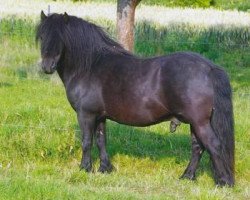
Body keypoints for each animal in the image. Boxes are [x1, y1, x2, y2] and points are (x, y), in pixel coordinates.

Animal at [36, 11, 234, 187]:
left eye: (60, 38)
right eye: (42, 36)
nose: (47, 66)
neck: (90, 66)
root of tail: (208, 67)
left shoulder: (86, 115)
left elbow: (86, 142)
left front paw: (85, 168)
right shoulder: (100, 116)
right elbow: (101, 141)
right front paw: (105, 168)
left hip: (200, 122)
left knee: (213, 145)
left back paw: (224, 182)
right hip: (195, 122)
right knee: (197, 147)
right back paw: (187, 176)